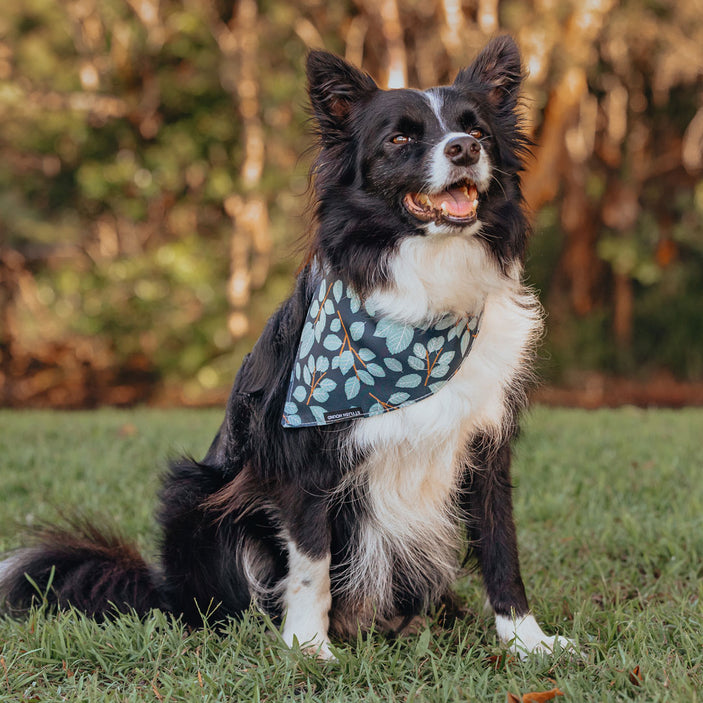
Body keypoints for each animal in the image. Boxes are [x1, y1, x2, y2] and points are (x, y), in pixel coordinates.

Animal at [0, 34, 572, 660]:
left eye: (478, 129)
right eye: (400, 138)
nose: (465, 149)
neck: (424, 298)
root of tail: (161, 590)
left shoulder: (485, 445)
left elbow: (500, 547)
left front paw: (527, 640)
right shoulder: (303, 452)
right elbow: (311, 564)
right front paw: (308, 648)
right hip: (197, 496)